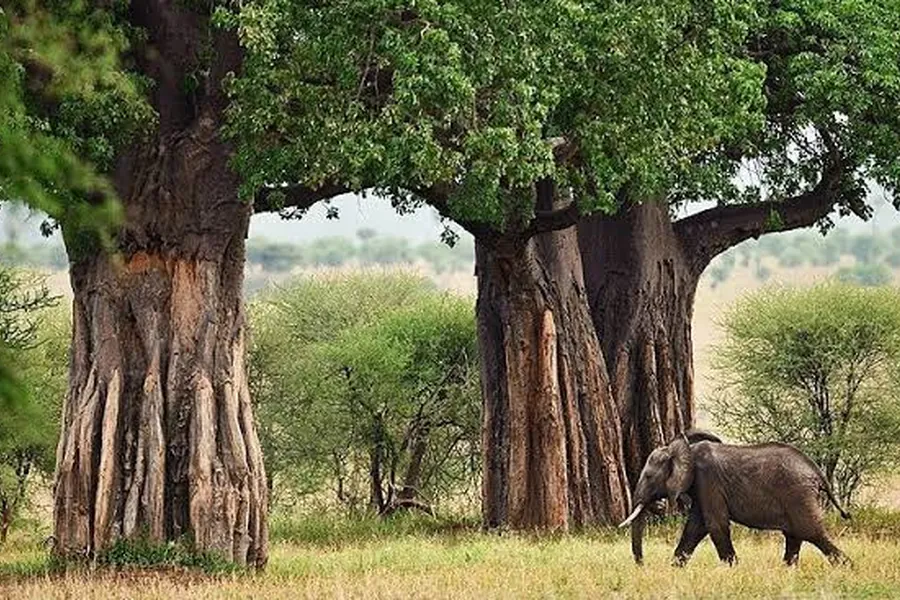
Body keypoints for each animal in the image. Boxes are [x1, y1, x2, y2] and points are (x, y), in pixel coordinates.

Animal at [620, 430, 851, 567]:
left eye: (649, 477)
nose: (642, 565)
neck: (687, 450)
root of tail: (816, 472)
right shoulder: (701, 488)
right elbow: (695, 528)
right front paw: (675, 568)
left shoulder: (708, 480)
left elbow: (715, 524)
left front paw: (733, 568)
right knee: (794, 536)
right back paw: (787, 570)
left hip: (798, 495)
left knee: (811, 532)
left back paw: (846, 567)